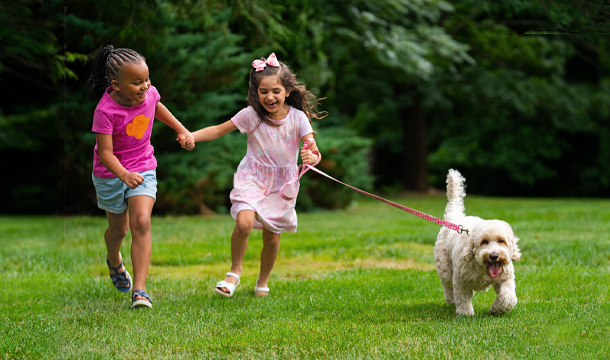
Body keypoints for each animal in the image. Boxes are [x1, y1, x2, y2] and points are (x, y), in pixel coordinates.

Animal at [432, 169, 516, 316]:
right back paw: (451, 299)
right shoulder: (461, 281)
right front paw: (465, 314)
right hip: (444, 265)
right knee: (447, 285)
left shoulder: (506, 278)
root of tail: (454, 217)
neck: (482, 267)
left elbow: (509, 298)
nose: (494, 256)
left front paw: (495, 310)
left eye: (501, 241)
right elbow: (462, 298)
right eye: (484, 242)